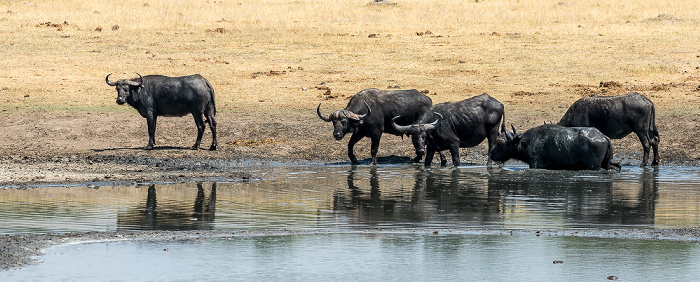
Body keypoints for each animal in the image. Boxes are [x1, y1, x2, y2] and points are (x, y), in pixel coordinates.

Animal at [490, 123, 620, 170]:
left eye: (500, 144)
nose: (491, 154)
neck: (527, 142)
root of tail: (603, 136)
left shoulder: (536, 164)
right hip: (607, 163)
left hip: (594, 166)